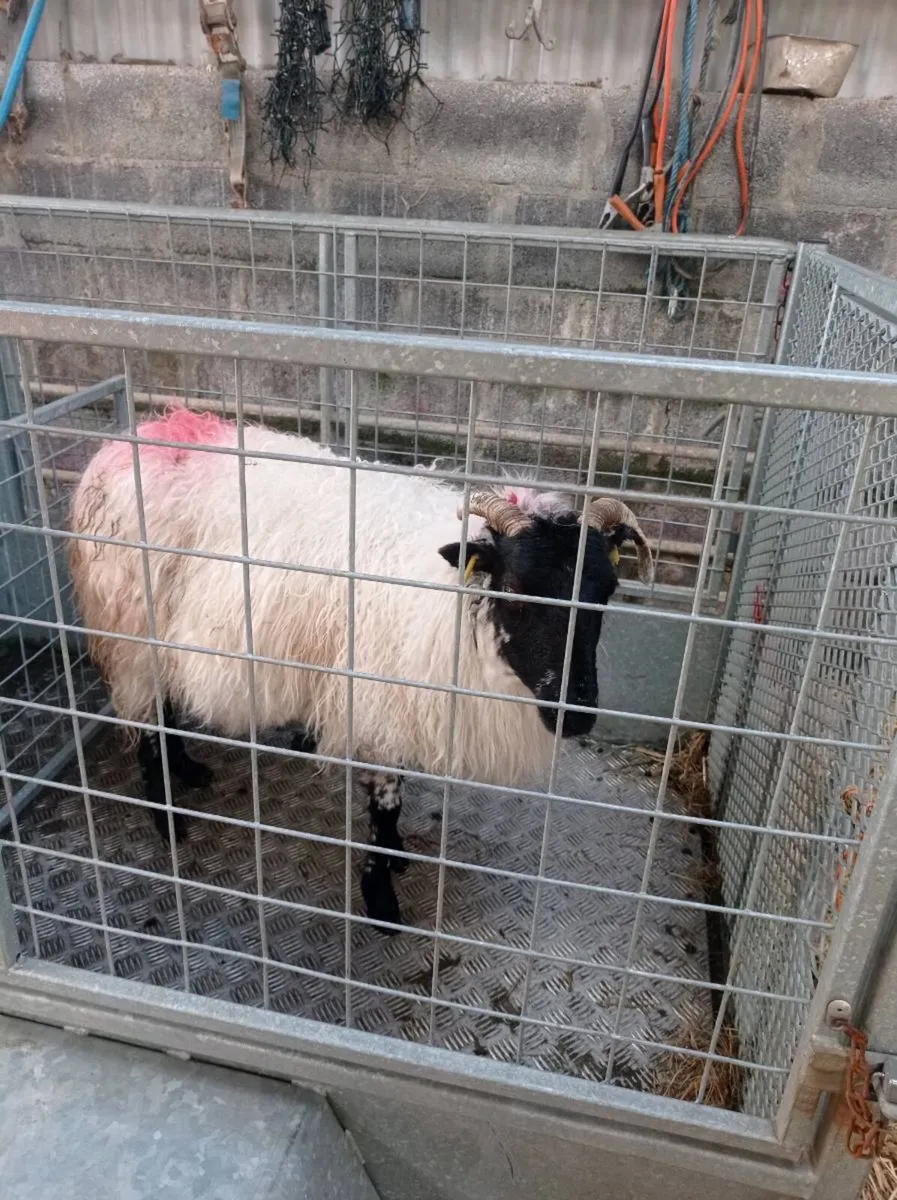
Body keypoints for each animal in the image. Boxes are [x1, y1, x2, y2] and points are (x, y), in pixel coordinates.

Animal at [68, 408, 653, 930]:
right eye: (513, 590)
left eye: (606, 591)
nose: (576, 716)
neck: (447, 597)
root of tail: (140, 434)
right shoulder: (378, 703)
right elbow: (384, 802)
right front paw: (380, 897)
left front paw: (394, 856)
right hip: (129, 625)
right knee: (147, 718)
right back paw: (166, 816)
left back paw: (188, 770)